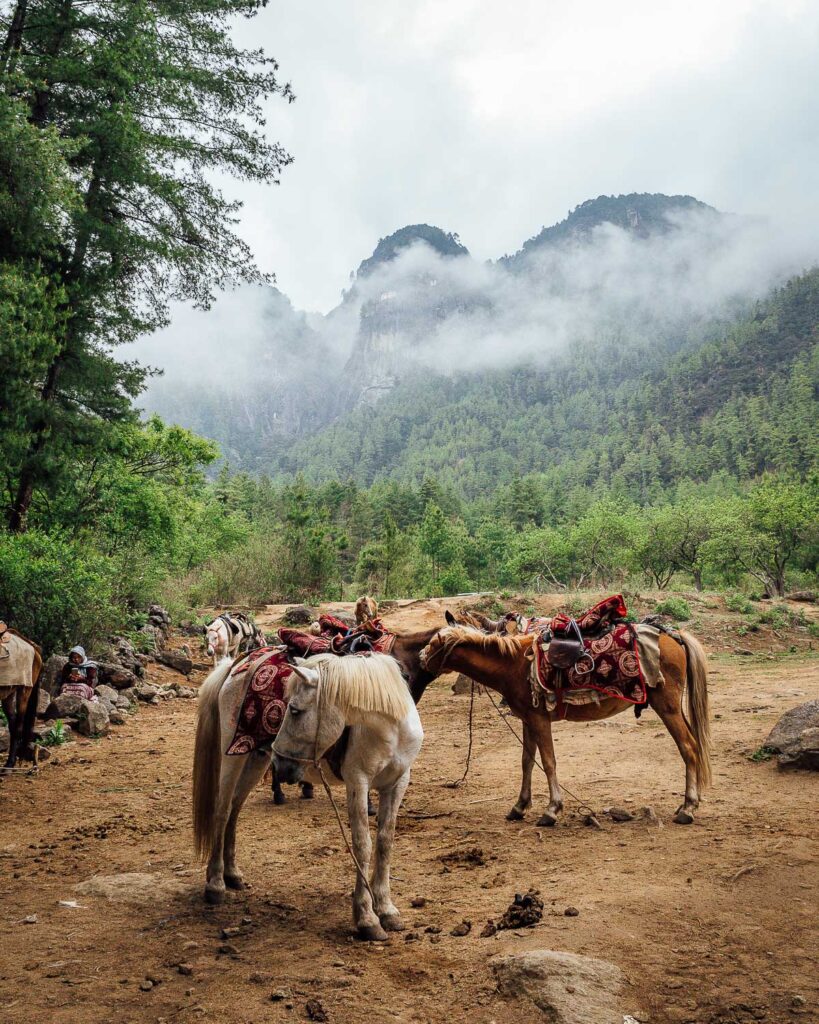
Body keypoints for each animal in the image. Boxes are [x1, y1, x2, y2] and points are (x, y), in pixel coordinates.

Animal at [0, 626, 43, 770]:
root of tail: (33, 646)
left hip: (25, 690)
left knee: (18, 725)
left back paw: (10, 764)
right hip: (8, 691)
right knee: (13, 724)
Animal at [192, 651, 421, 937]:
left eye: (294, 710)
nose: (280, 762)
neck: (390, 731)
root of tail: (237, 664)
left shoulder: (398, 782)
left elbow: (385, 842)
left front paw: (386, 909)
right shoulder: (358, 782)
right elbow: (362, 845)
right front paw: (367, 918)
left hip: (255, 760)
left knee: (235, 808)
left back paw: (232, 874)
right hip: (233, 757)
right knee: (222, 812)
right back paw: (215, 884)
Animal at [421, 618, 708, 827]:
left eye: (433, 645)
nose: (421, 659)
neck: (513, 664)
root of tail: (673, 636)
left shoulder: (539, 719)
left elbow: (548, 762)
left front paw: (552, 810)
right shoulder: (527, 719)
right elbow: (526, 762)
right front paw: (519, 806)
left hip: (667, 707)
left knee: (688, 748)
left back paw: (688, 808)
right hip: (674, 708)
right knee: (694, 744)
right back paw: (687, 804)